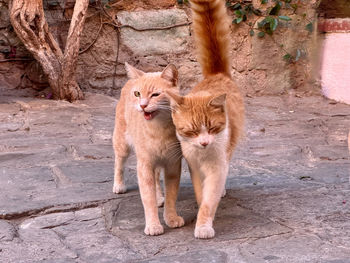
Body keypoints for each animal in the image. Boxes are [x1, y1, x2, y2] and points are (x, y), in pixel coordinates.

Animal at [166, 0, 243, 240]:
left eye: (212, 127)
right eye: (191, 131)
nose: (204, 142)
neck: (203, 155)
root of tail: (215, 75)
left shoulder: (217, 167)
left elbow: (210, 198)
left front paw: (204, 224)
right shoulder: (194, 167)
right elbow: (202, 194)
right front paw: (201, 207)